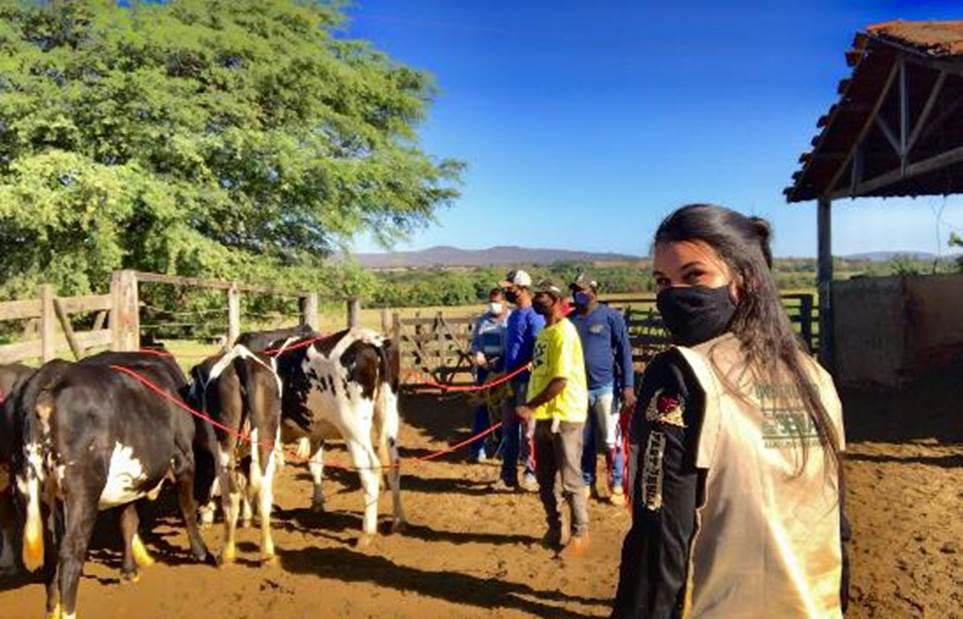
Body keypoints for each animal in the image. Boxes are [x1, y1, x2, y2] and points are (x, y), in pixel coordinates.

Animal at [14, 354, 213, 619]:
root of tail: (55, 371)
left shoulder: (127, 482)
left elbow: (127, 521)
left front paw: (129, 571)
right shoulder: (184, 459)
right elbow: (187, 509)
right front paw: (201, 552)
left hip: (39, 490)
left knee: (51, 554)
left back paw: (52, 610)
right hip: (83, 488)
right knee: (71, 552)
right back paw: (68, 612)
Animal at [186, 346, 280, 564]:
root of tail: (241, 359)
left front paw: (206, 515)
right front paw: (246, 518)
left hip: (224, 447)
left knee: (231, 495)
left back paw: (226, 553)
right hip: (267, 441)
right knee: (263, 493)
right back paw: (267, 552)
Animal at [272, 326, 406, 544]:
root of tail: (371, 340)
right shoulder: (315, 430)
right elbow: (315, 465)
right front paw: (317, 504)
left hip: (353, 429)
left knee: (371, 470)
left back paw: (367, 532)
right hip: (388, 416)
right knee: (394, 463)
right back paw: (398, 521)